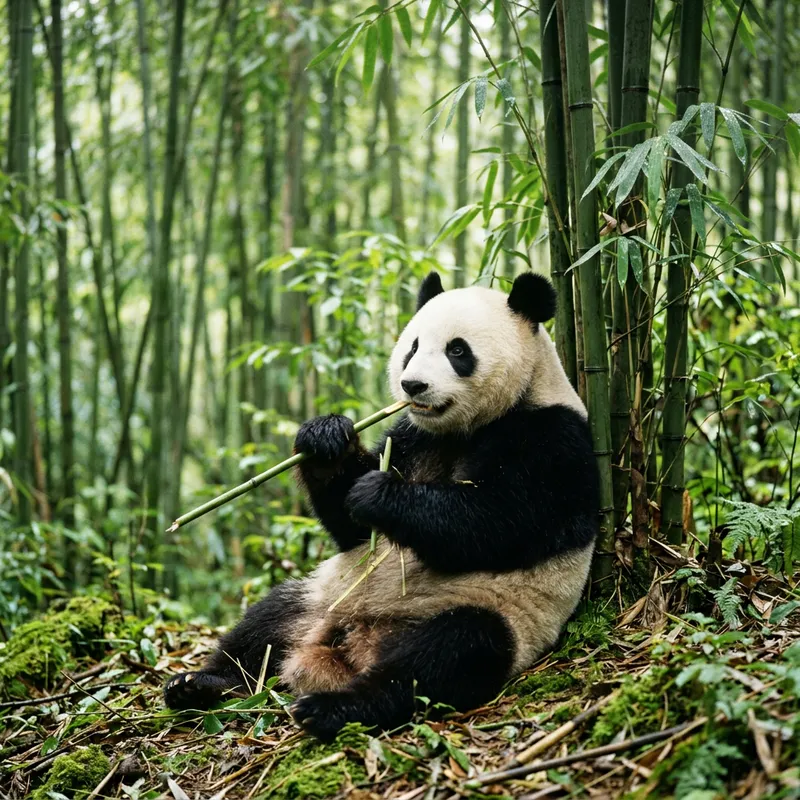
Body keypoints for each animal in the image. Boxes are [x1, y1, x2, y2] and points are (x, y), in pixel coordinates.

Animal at [164, 271, 599, 741]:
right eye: (412, 346)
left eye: (458, 351)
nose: (413, 385)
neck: (471, 426)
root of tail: (349, 648)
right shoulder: (413, 435)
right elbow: (350, 530)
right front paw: (325, 439)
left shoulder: (553, 439)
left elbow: (497, 522)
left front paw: (379, 496)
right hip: (319, 596)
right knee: (264, 625)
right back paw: (199, 684)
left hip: (496, 615)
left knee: (444, 656)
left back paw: (333, 708)